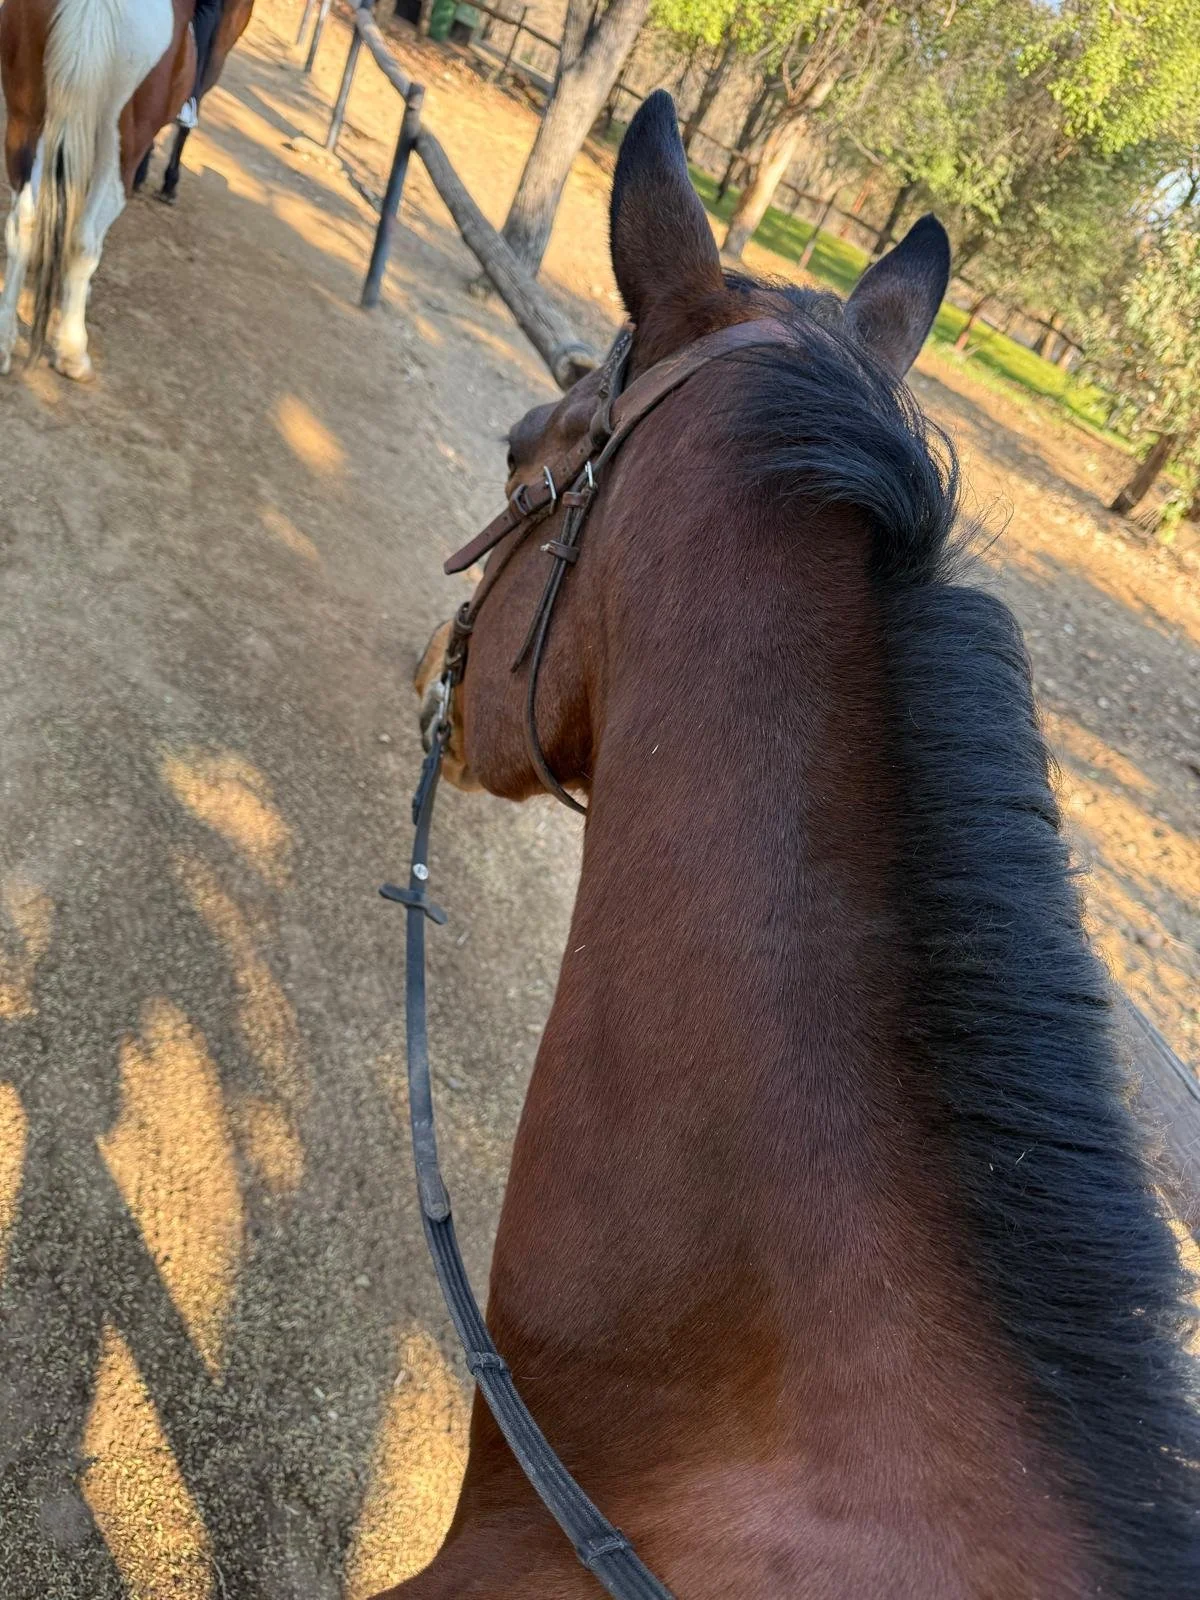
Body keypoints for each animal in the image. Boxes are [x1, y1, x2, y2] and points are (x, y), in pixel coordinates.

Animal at [0, 0, 194, 379]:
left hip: (26, 113)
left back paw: (3, 340)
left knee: (23, 220)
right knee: (84, 239)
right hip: (122, 144)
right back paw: (73, 351)